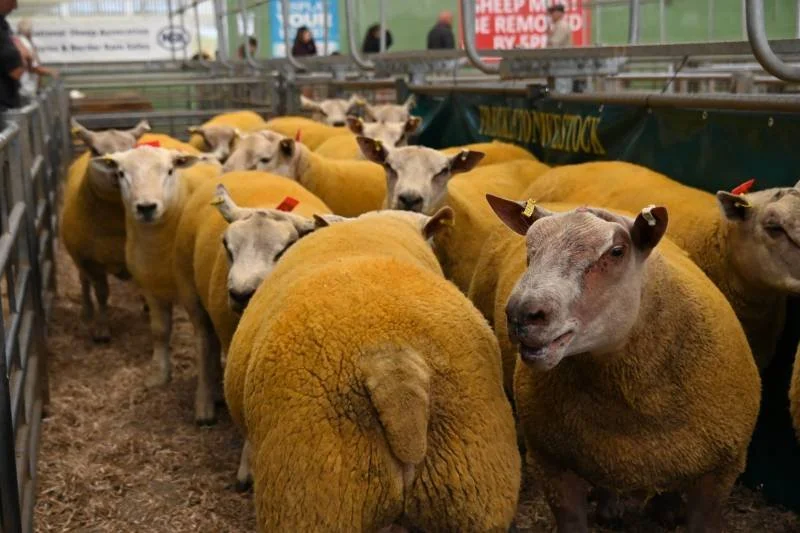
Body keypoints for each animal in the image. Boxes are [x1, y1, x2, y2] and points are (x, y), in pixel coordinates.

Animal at [61, 121, 152, 341]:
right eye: (95, 150)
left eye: (134, 149)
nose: (119, 171)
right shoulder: (90, 261)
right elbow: (102, 293)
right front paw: (101, 328)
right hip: (78, 257)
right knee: (84, 282)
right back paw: (87, 312)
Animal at [89, 146, 221, 390]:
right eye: (121, 173)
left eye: (169, 171)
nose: (146, 207)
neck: (157, 246)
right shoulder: (150, 287)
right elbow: (159, 331)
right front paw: (159, 374)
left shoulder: (191, 293)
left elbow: (202, 334)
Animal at [173, 173, 330, 424]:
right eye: (227, 246)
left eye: (282, 250)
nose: (240, 293)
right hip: (187, 284)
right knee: (205, 340)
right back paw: (205, 404)